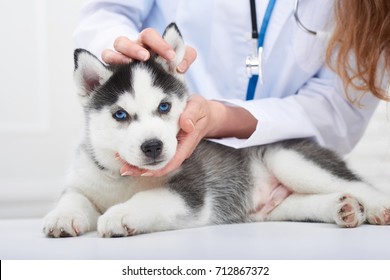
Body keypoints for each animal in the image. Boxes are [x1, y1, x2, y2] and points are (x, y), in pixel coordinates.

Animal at [44, 23, 390, 238]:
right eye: (120, 115)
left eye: (164, 107)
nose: (153, 146)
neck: (123, 179)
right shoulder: (84, 181)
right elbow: (73, 198)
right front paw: (61, 217)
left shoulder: (192, 192)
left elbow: (150, 198)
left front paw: (119, 214)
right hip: (275, 208)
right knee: (309, 202)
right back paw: (343, 208)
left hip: (287, 158)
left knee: (359, 185)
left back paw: (377, 207)